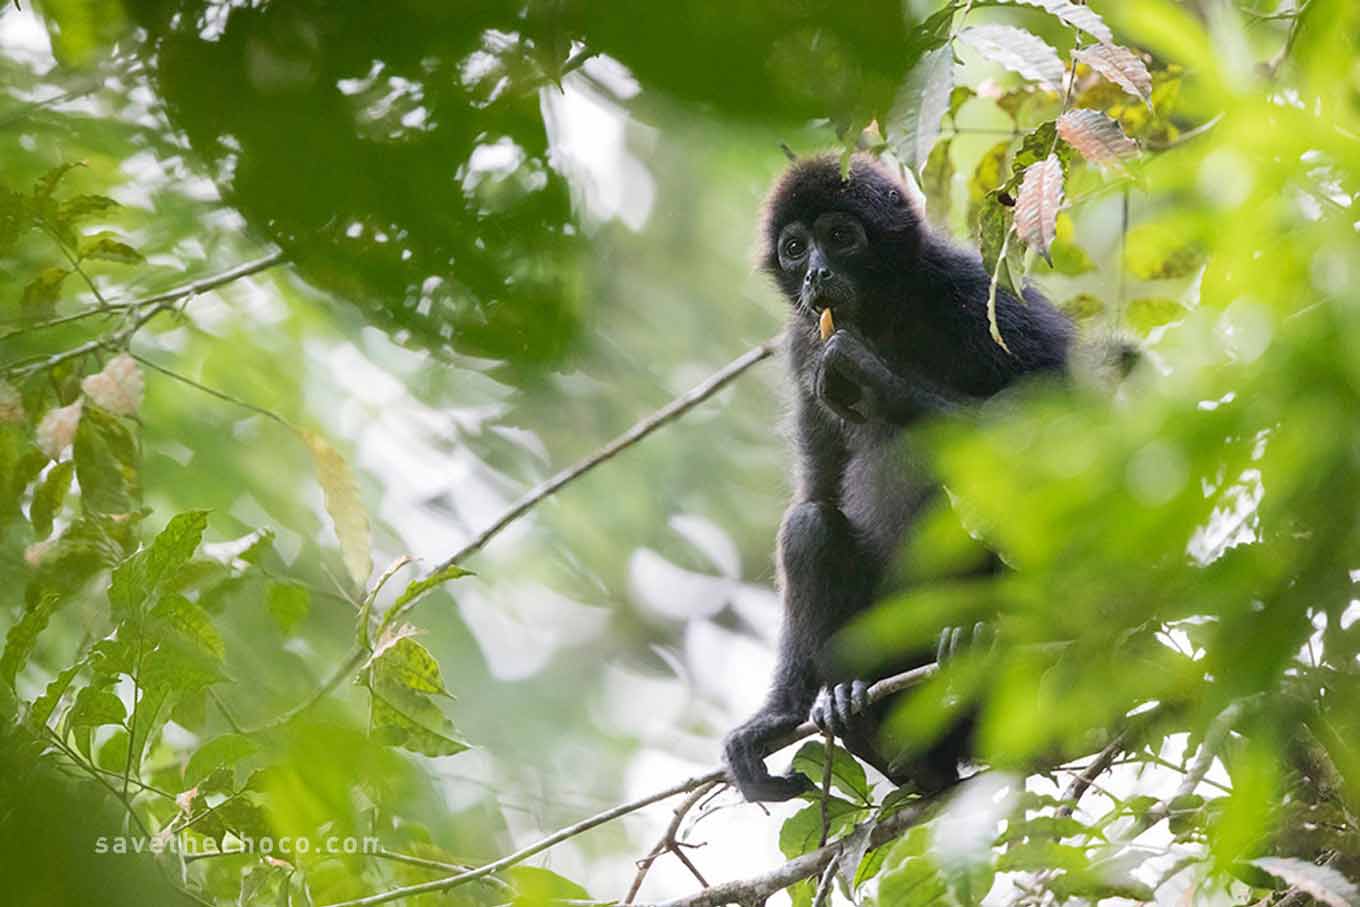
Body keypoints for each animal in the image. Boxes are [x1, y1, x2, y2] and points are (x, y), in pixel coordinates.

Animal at [723, 154, 1071, 799]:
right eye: (794, 248)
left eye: (840, 236)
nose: (815, 273)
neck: (884, 315)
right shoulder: (802, 345)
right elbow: (817, 487)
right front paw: (778, 713)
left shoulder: (969, 286)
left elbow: (1056, 409)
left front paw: (870, 374)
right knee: (809, 525)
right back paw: (860, 718)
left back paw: (978, 636)